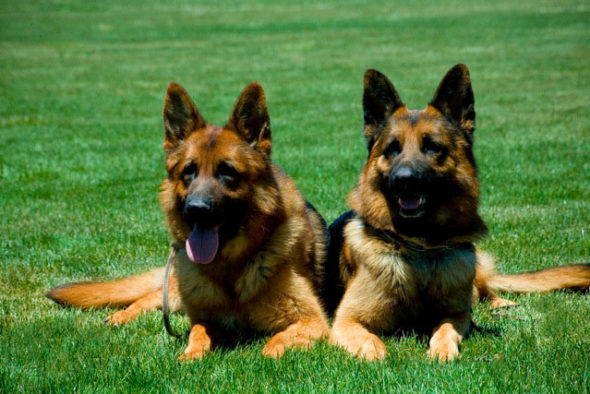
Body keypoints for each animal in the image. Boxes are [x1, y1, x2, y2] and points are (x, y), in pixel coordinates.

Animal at [48, 81, 330, 358]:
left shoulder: (312, 320)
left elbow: (272, 345)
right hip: (174, 291)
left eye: (227, 172)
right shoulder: (206, 318)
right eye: (189, 171)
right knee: (148, 299)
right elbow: (197, 332)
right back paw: (121, 316)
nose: (196, 209)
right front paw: (190, 355)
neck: (230, 267)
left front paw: (267, 351)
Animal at [328, 63, 590, 360]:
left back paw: (500, 302)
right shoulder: (347, 321)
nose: (404, 180)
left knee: (485, 290)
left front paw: (442, 350)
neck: (420, 250)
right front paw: (377, 355)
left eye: (433, 147)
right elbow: (371, 343)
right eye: (392, 149)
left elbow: (445, 329)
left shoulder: (458, 314)